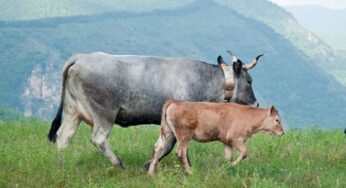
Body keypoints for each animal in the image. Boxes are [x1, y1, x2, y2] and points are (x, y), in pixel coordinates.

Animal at [46, 51, 262, 167]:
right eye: (249, 81)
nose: (256, 103)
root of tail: (82, 57)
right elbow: (171, 146)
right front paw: (151, 165)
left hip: (73, 111)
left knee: (63, 137)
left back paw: (60, 166)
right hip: (104, 113)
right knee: (98, 139)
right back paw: (119, 164)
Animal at [147, 100, 284, 175]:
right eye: (277, 120)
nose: (282, 132)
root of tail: (173, 101)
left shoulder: (227, 141)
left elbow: (228, 157)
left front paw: (227, 168)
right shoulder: (235, 138)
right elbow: (245, 152)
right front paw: (233, 165)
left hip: (167, 132)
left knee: (157, 149)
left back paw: (150, 174)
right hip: (184, 135)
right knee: (180, 152)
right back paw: (191, 172)